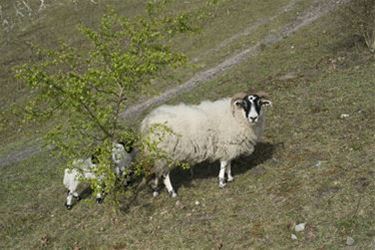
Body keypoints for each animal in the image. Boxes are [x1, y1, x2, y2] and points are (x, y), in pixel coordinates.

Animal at [141, 90, 274, 197]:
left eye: (259, 103)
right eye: (245, 104)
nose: (253, 117)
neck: (236, 116)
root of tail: (148, 122)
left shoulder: (230, 146)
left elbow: (229, 162)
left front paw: (230, 177)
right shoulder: (226, 143)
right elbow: (224, 163)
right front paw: (221, 181)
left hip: (157, 154)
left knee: (157, 171)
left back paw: (156, 190)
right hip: (166, 153)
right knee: (164, 174)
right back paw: (172, 192)